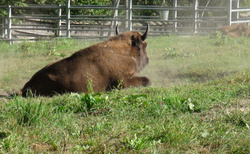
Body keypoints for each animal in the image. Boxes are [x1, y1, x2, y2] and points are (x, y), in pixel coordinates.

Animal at [21, 24, 150, 96]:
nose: (147, 60)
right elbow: (147, 80)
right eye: (145, 45)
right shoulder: (124, 81)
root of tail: (28, 84)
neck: (125, 51)